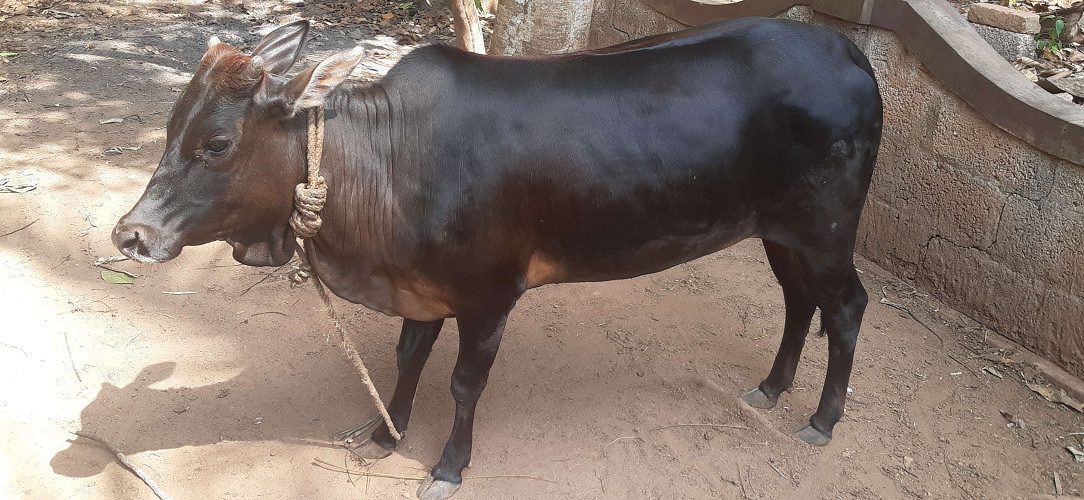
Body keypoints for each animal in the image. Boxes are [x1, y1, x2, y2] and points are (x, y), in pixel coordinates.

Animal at [112, 18, 882, 499]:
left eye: (216, 144)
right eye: (173, 126)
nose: (132, 235)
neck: (390, 163)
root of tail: (847, 52)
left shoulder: (489, 297)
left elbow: (463, 385)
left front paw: (448, 467)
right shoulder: (420, 290)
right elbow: (406, 359)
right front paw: (386, 433)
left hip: (826, 229)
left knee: (846, 306)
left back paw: (822, 419)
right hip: (778, 231)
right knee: (798, 302)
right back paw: (770, 388)